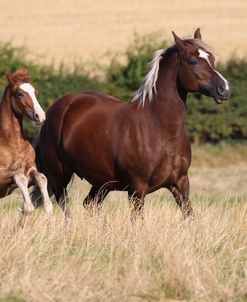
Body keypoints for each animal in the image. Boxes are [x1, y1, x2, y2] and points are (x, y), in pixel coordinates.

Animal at [0, 67, 52, 216]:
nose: (41, 116)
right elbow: (19, 177)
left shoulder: (31, 170)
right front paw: (26, 208)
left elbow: (41, 177)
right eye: (19, 94)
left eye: (35, 92)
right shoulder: (3, 177)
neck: (14, 143)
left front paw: (48, 209)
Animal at [30, 29, 230, 218]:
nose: (224, 89)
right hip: (60, 174)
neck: (160, 130)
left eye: (212, 59)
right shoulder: (137, 189)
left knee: (90, 204)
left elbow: (188, 215)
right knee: (64, 205)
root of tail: (54, 110)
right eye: (192, 61)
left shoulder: (180, 183)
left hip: (103, 182)